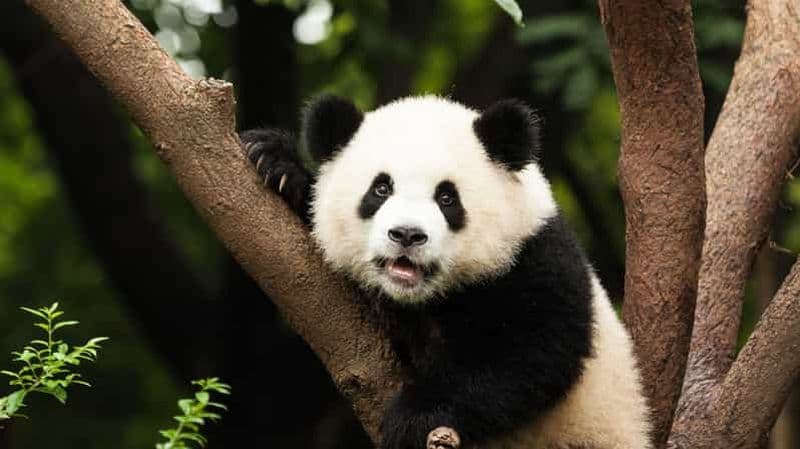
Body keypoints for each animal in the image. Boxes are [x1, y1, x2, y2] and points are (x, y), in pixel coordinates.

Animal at [240, 95, 651, 449]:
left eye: (447, 197)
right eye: (380, 189)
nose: (407, 234)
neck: (422, 299)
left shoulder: (535, 258)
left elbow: (531, 354)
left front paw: (414, 417)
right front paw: (276, 164)